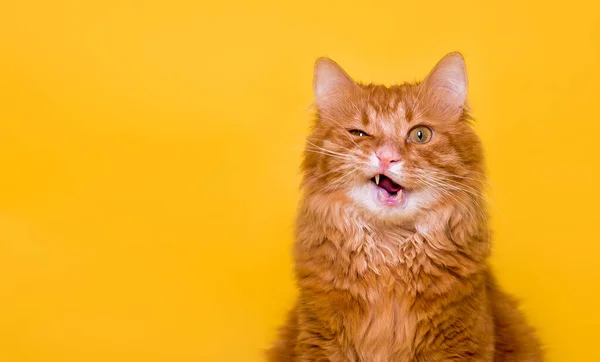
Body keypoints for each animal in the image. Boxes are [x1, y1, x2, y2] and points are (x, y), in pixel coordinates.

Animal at [268, 52, 544, 360]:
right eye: (359, 134)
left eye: (420, 135)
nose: (386, 157)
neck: (390, 254)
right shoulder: (319, 340)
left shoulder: (459, 343)